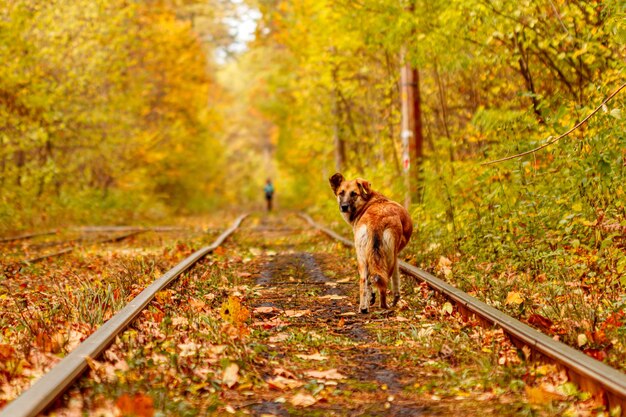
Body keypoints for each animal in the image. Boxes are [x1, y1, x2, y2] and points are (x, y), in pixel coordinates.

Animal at [330, 171, 412, 312]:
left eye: (354, 193)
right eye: (341, 193)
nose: (344, 207)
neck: (367, 202)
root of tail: (376, 219)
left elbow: (369, 283)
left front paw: (371, 297)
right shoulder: (395, 257)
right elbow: (395, 281)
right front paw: (395, 299)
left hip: (362, 258)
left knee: (363, 281)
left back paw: (363, 308)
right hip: (388, 259)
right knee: (383, 284)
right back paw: (385, 306)